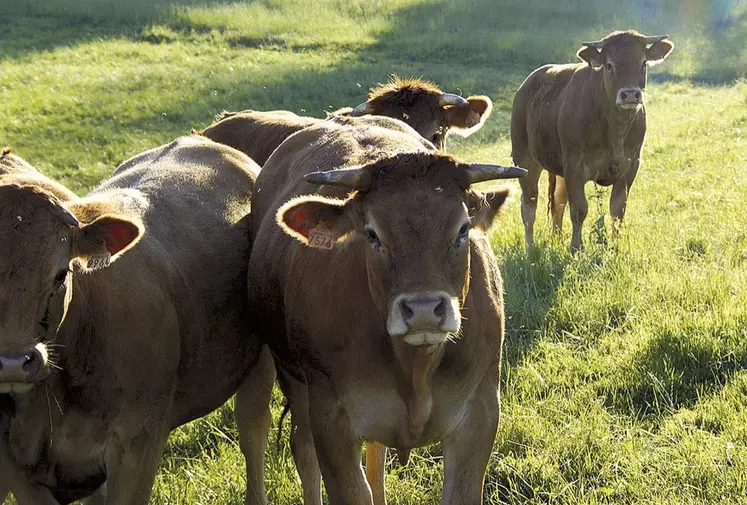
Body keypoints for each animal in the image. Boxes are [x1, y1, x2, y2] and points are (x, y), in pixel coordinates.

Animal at [0, 136, 270, 502]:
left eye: (60, 274)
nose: (13, 363)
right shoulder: (17, 469)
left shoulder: (138, 444)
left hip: (258, 366)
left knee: (253, 434)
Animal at [245, 116, 524, 504]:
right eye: (372, 234)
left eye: (463, 228)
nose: (423, 309)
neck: (415, 369)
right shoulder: (330, 419)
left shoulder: (480, 414)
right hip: (293, 380)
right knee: (304, 451)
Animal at [512, 29, 676, 250]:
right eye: (609, 65)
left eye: (643, 63)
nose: (630, 94)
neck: (614, 130)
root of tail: (526, 85)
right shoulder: (574, 166)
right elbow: (579, 209)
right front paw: (576, 248)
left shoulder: (630, 165)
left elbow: (617, 209)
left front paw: (616, 245)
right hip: (525, 160)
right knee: (529, 205)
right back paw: (530, 248)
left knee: (558, 202)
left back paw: (557, 238)